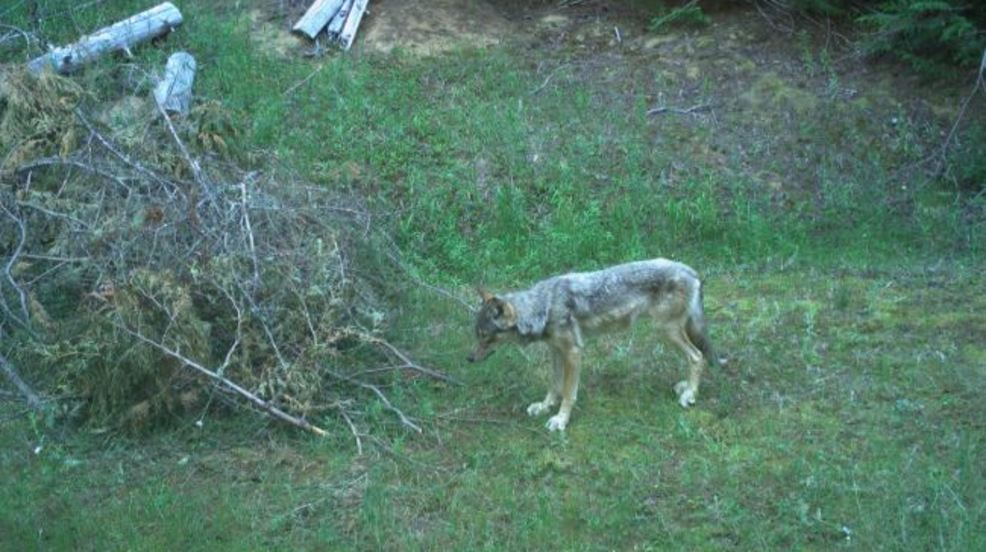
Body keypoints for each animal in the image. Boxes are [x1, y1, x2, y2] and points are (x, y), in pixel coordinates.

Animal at [468, 258, 716, 432]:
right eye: (477, 335)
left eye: (485, 336)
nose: (468, 359)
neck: (544, 306)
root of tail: (692, 271)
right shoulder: (555, 351)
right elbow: (553, 386)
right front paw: (544, 407)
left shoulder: (573, 352)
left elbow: (568, 393)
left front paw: (560, 420)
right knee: (696, 356)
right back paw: (686, 387)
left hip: (665, 330)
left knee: (697, 356)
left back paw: (690, 395)